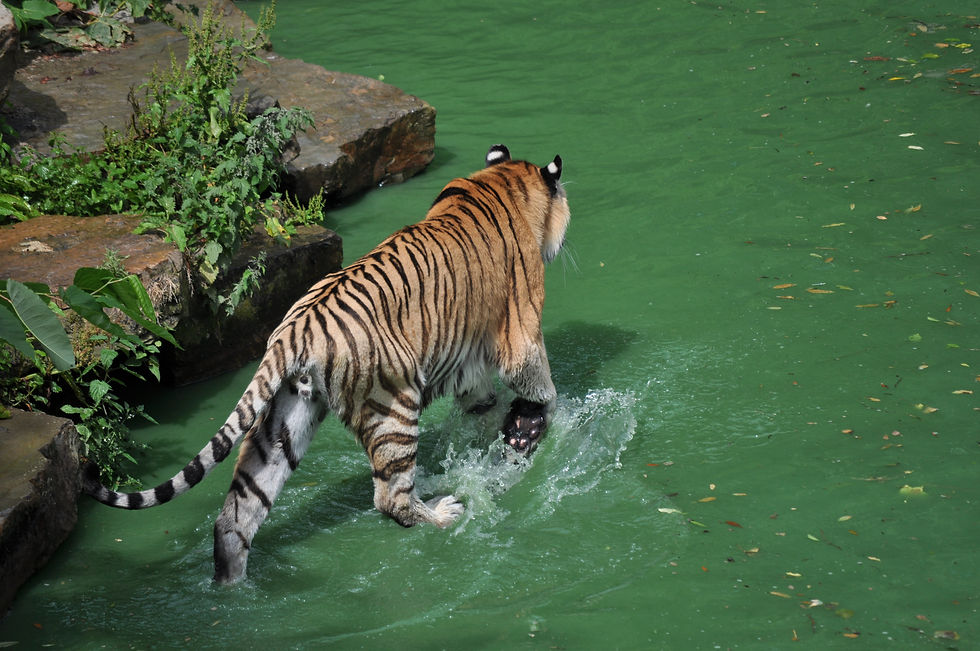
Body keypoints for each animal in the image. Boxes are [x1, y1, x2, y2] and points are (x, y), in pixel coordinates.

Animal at [83, 144, 570, 584]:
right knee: (389, 498)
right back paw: (442, 513)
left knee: (235, 517)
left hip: (282, 423)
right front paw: (543, 416)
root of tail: (293, 330)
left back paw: (233, 587)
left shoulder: (468, 357)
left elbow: (481, 400)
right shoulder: (521, 326)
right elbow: (536, 377)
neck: (502, 181)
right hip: (394, 405)